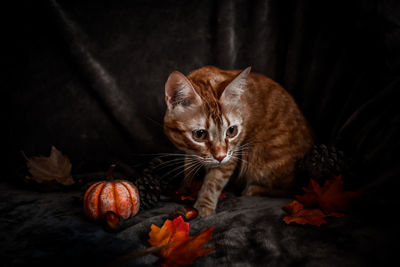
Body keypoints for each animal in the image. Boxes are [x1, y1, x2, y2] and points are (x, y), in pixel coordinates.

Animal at [162, 66, 312, 217]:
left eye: (231, 131)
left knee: (292, 189)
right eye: (200, 134)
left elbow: (213, 181)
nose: (220, 156)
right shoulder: (193, 153)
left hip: (261, 157)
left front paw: (204, 205)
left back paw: (253, 190)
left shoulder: (232, 154)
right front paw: (185, 187)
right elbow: (188, 166)